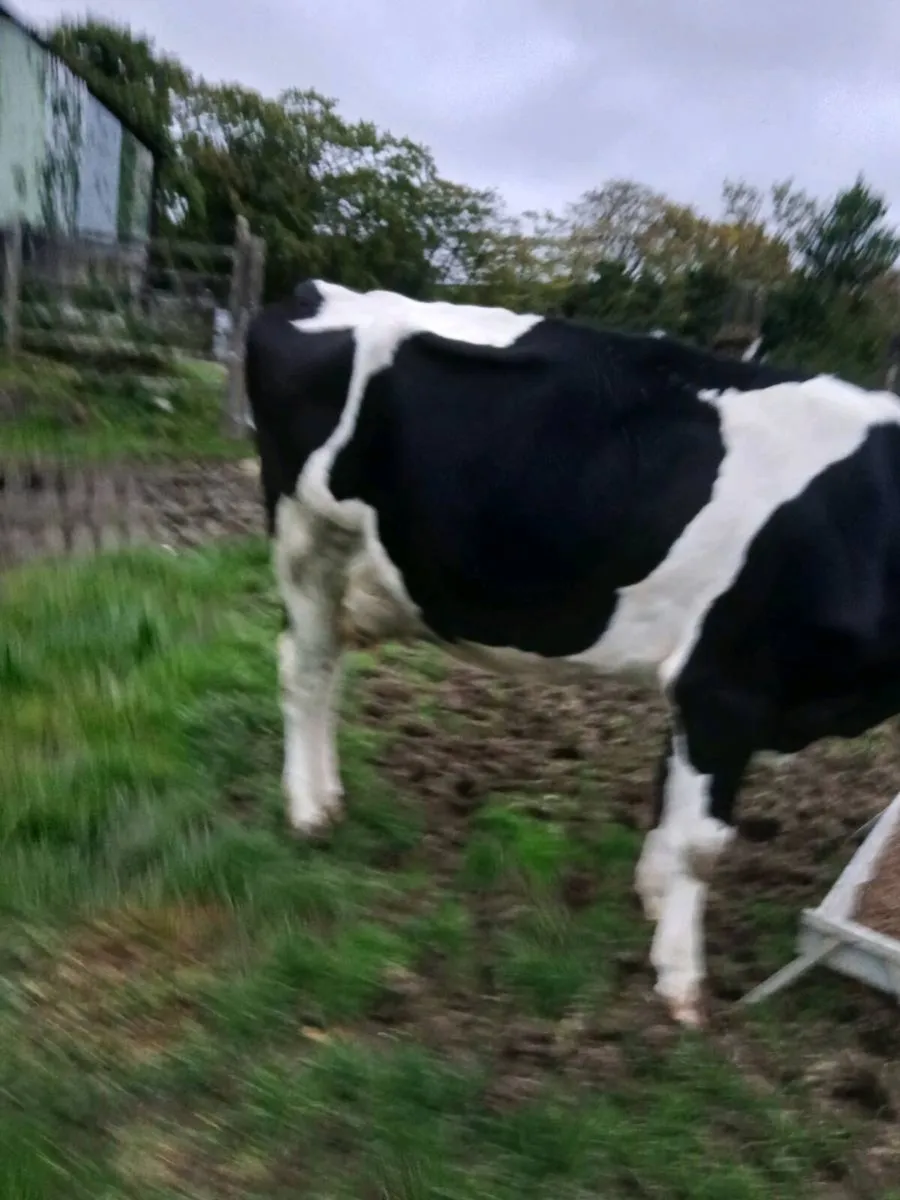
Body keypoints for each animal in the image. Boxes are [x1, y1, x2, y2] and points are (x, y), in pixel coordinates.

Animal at [245, 278, 900, 1028]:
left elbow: (668, 797)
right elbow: (702, 844)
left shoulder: (708, 691)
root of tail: (317, 291)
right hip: (306, 536)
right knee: (304, 671)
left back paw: (327, 795)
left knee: (327, 672)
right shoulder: (725, 684)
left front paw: (651, 895)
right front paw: (681, 983)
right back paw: (308, 813)